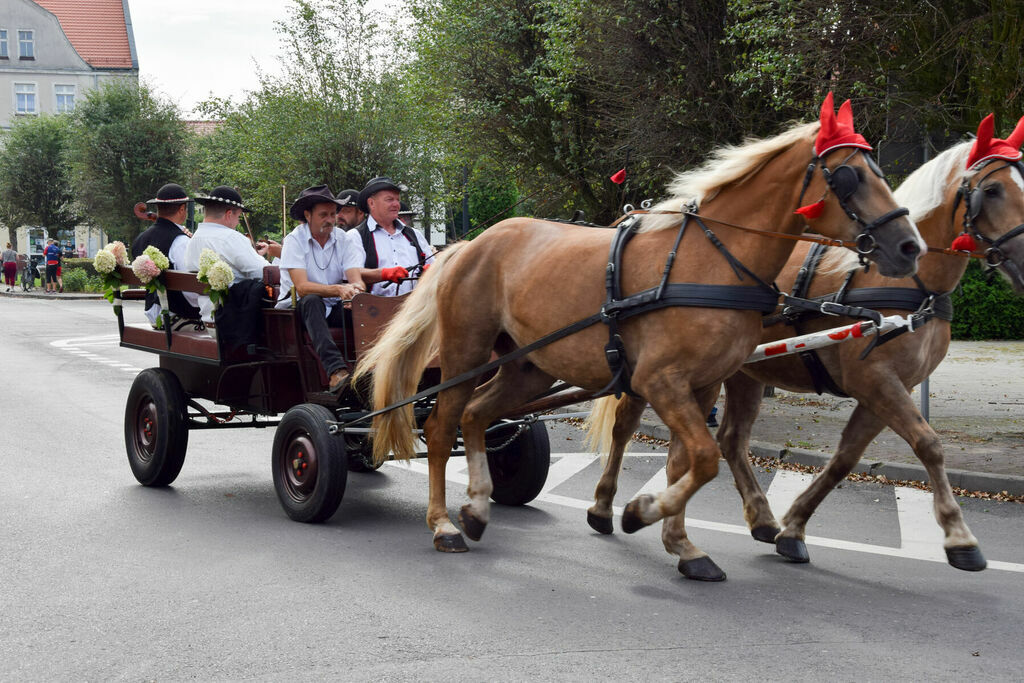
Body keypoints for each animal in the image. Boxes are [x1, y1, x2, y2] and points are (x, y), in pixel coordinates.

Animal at [356, 92, 925, 581]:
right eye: (849, 176)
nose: (909, 247)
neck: (713, 261)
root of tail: (465, 246)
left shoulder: (701, 386)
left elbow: (685, 461)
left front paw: (681, 544)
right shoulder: (660, 380)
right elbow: (704, 458)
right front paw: (638, 512)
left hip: (528, 366)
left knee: (476, 416)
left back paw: (475, 507)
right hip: (465, 352)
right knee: (442, 425)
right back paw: (444, 524)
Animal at [585, 114, 1024, 573]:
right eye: (993, 189)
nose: (908, 249)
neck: (911, 285)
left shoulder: (887, 389)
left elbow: (845, 458)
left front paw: (793, 527)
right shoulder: (876, 381)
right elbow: (929, 444)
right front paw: (959, 536)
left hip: (743, 373)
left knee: (731, 440)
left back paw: (761, 519)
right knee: (626, 426)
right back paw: (603, 506)